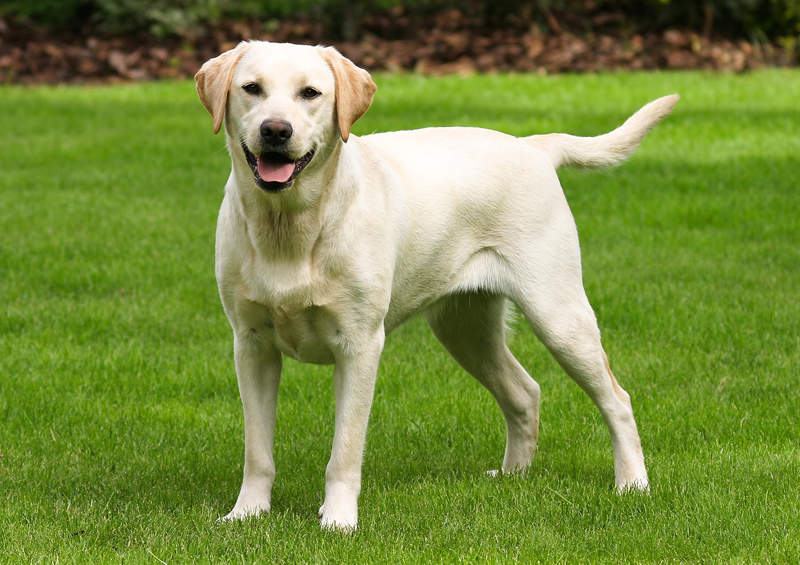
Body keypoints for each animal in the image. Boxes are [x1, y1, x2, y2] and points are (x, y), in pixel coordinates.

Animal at [194, 39, 676, 528]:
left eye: (310, 93)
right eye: (252, 88)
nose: (275, 130)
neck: (290, 226)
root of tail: (533, 146)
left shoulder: (359, 345)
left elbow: (345, 450)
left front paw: (339, 520)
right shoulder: (251, 345)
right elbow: (257, 450)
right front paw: (247, 514)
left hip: (558, 315)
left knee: (617, 399)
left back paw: (632, 484)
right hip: (464, 329)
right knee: (525, 392)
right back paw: (513, 476)